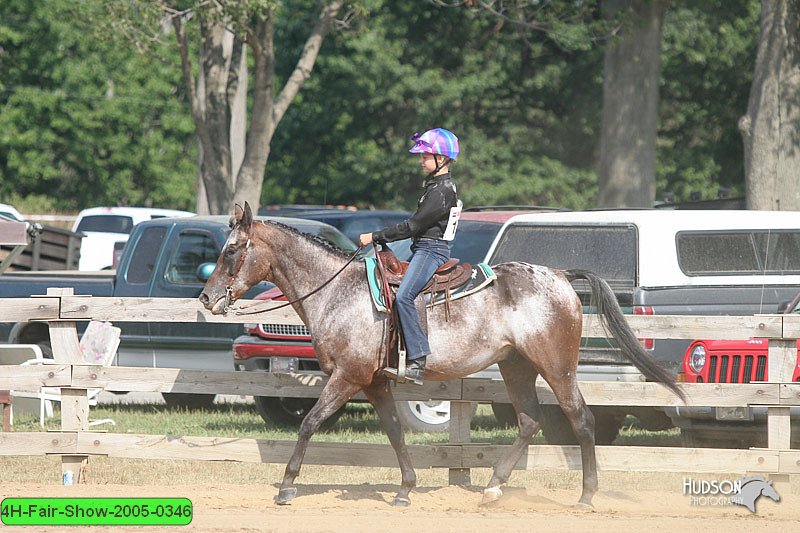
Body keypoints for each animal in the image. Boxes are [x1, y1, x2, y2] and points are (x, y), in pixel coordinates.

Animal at [198, 203, 680, 508]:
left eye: (231, 249)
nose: (206, 298)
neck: (338, 291)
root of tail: (560, 276)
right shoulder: (375, 382)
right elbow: (395, 432)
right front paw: (405, 490)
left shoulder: (347, 377)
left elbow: (309, 424)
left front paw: (286, 487)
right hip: (516, 367)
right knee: (529, 421)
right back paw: (493, 487)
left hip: (557, 368)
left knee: (582, 419)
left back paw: (586, 496)